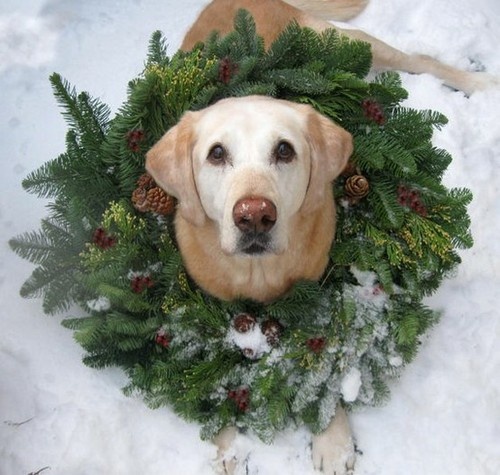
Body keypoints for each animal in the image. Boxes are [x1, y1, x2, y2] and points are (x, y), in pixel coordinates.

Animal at [146, 1, 498, 474]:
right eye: (216, 153)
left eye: (284, 150)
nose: (254, 216)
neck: (260, 276)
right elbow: (204, 376)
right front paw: (226, 448)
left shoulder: (327, 297)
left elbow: (329, 366)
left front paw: (333, 439)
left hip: (353, 42)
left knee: (418, 60)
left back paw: (481, 82)